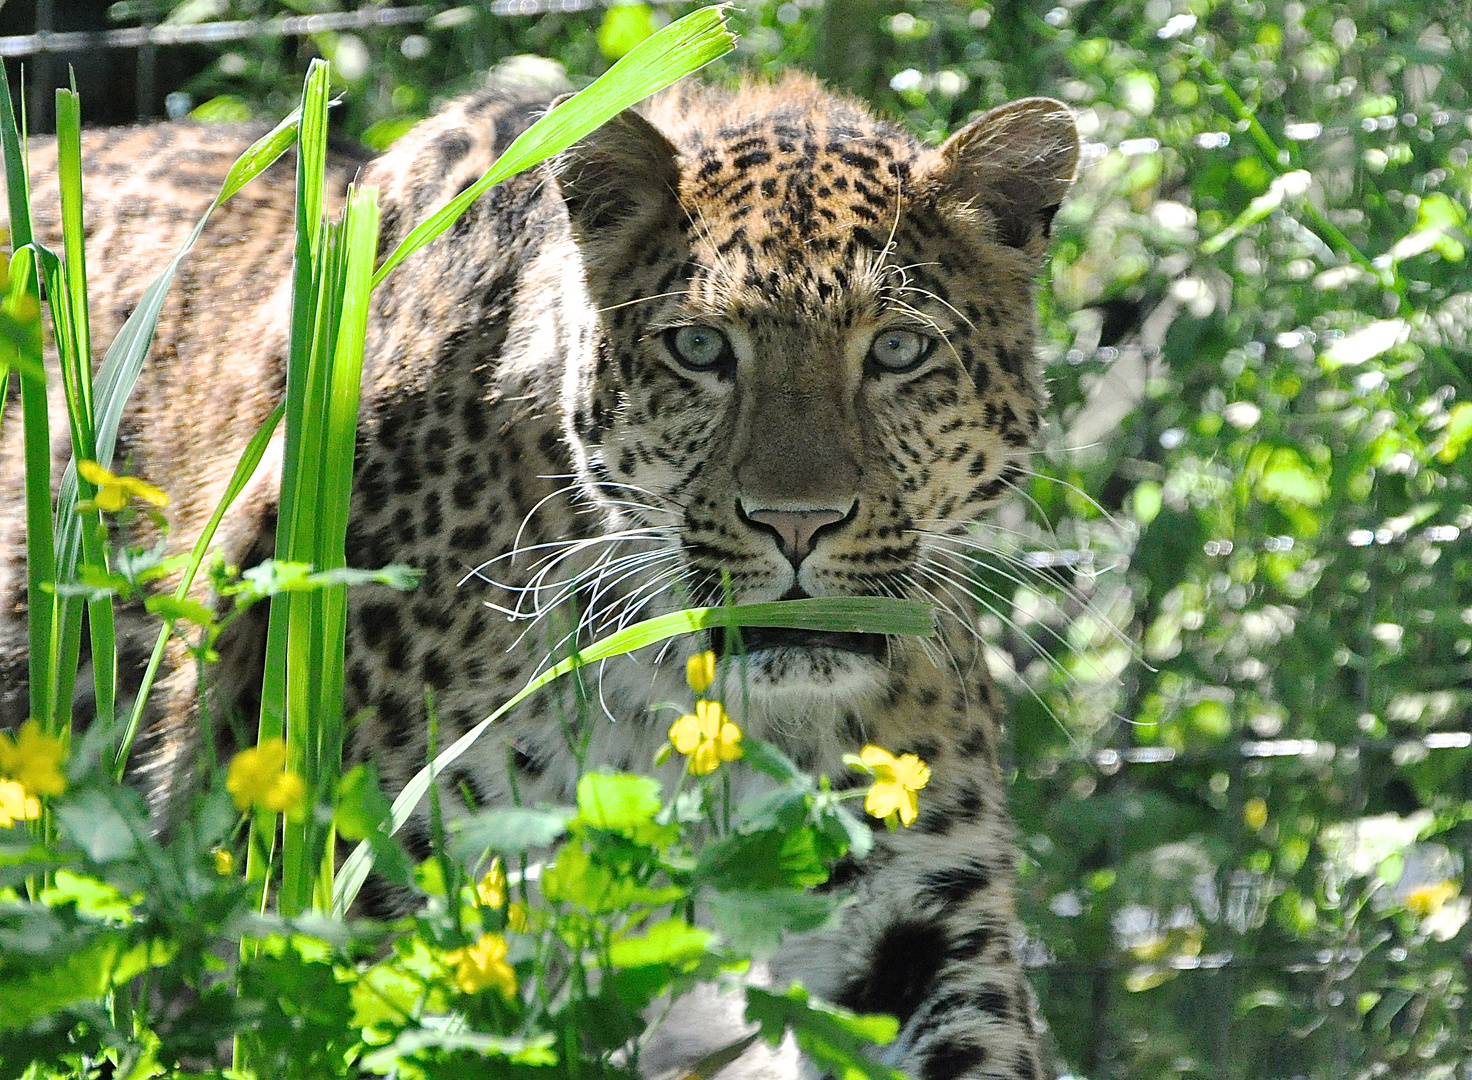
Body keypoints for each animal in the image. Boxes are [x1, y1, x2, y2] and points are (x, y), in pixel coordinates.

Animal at [0, 72, 1083, 1077]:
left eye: (898, 349)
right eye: (700, 347)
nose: (795, 523)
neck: (694, 704)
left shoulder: (922, 925)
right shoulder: (356, 895)